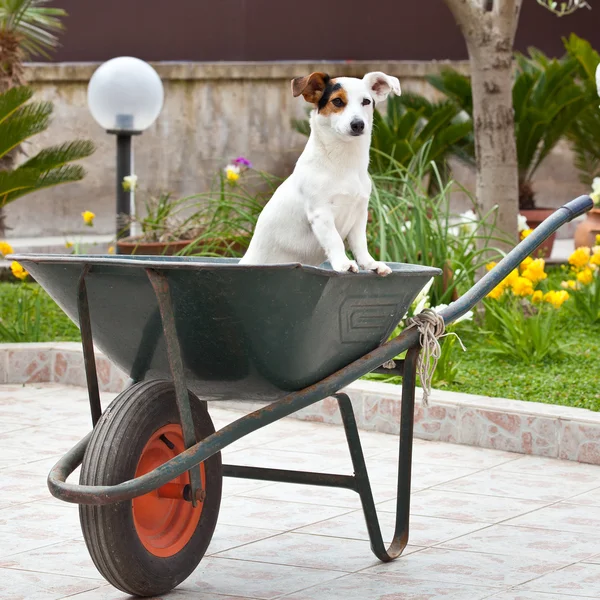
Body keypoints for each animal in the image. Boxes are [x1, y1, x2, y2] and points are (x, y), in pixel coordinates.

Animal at [238, 71, 398, 276]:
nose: (358, 124)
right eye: (337, 101)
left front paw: (370, 264)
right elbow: (335, 240)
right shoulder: (321, 213)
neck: (343, 163)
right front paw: (343, 264)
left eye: (366, 101)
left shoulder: (360, 213)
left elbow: (360, 244)